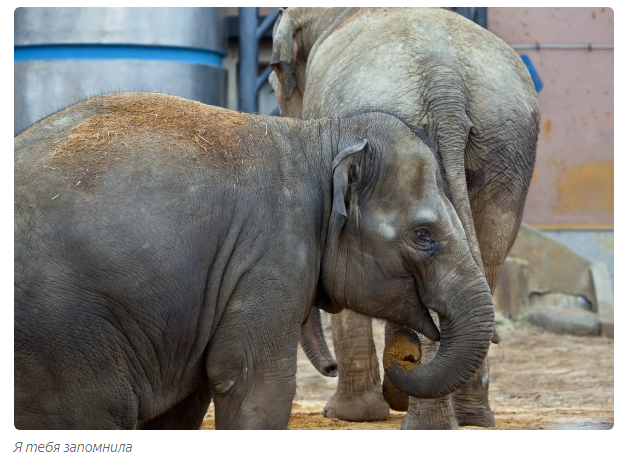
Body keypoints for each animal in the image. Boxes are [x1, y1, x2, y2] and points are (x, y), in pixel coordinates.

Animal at [13, 91, 496, 430]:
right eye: (424, 235)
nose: (407, 355)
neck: (316, 137)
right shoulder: (271, 255)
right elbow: (255, 385)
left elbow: (186, 403)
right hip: (64, 334)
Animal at [270, 7, 540, 430]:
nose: (329, 368)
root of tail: (446, 83)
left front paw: (351, 415)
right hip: (508, 147)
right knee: (488, 255)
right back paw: (473, 418)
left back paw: (425, 419)